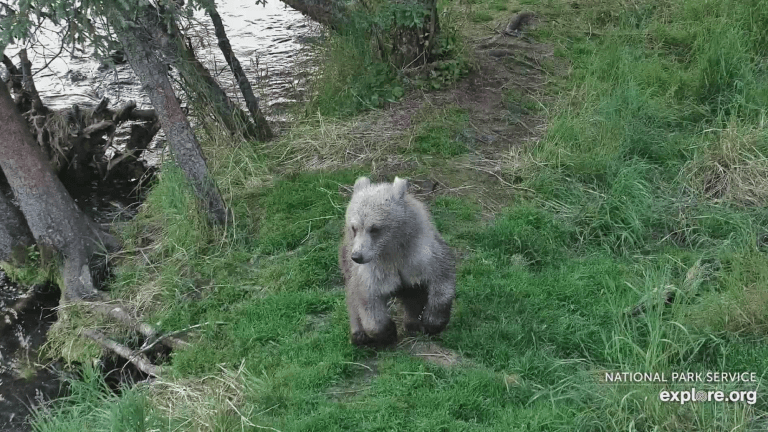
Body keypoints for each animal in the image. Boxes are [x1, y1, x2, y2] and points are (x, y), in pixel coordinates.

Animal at [338, 176, 456, 346]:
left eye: (374, 228)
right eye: (354, 227)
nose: (357, 256)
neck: (392, 251)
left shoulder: (421, 255)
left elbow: (442, 280)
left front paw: (432, 323)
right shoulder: (371, 271)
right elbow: (368, 303)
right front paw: (388, 332)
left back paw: (412, 323)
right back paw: (359, 335)